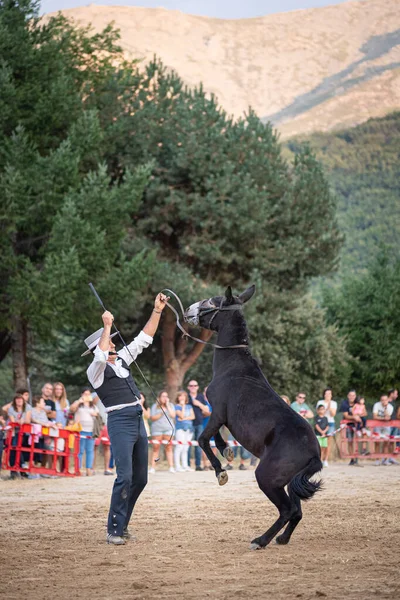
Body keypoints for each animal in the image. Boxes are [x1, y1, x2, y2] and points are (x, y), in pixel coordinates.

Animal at [184, 286, 322, 548]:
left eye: (213, 302)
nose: (188, 310)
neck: (233, 365)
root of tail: (315, 454)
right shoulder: (219, 415)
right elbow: (215, 437)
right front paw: (227, 450)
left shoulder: (217, 411)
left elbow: (203, 439)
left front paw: (221, 472)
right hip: (289, 482)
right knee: (297, 511)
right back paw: (282, 538)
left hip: (267, 477)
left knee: (287, 510)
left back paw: (261, 540)